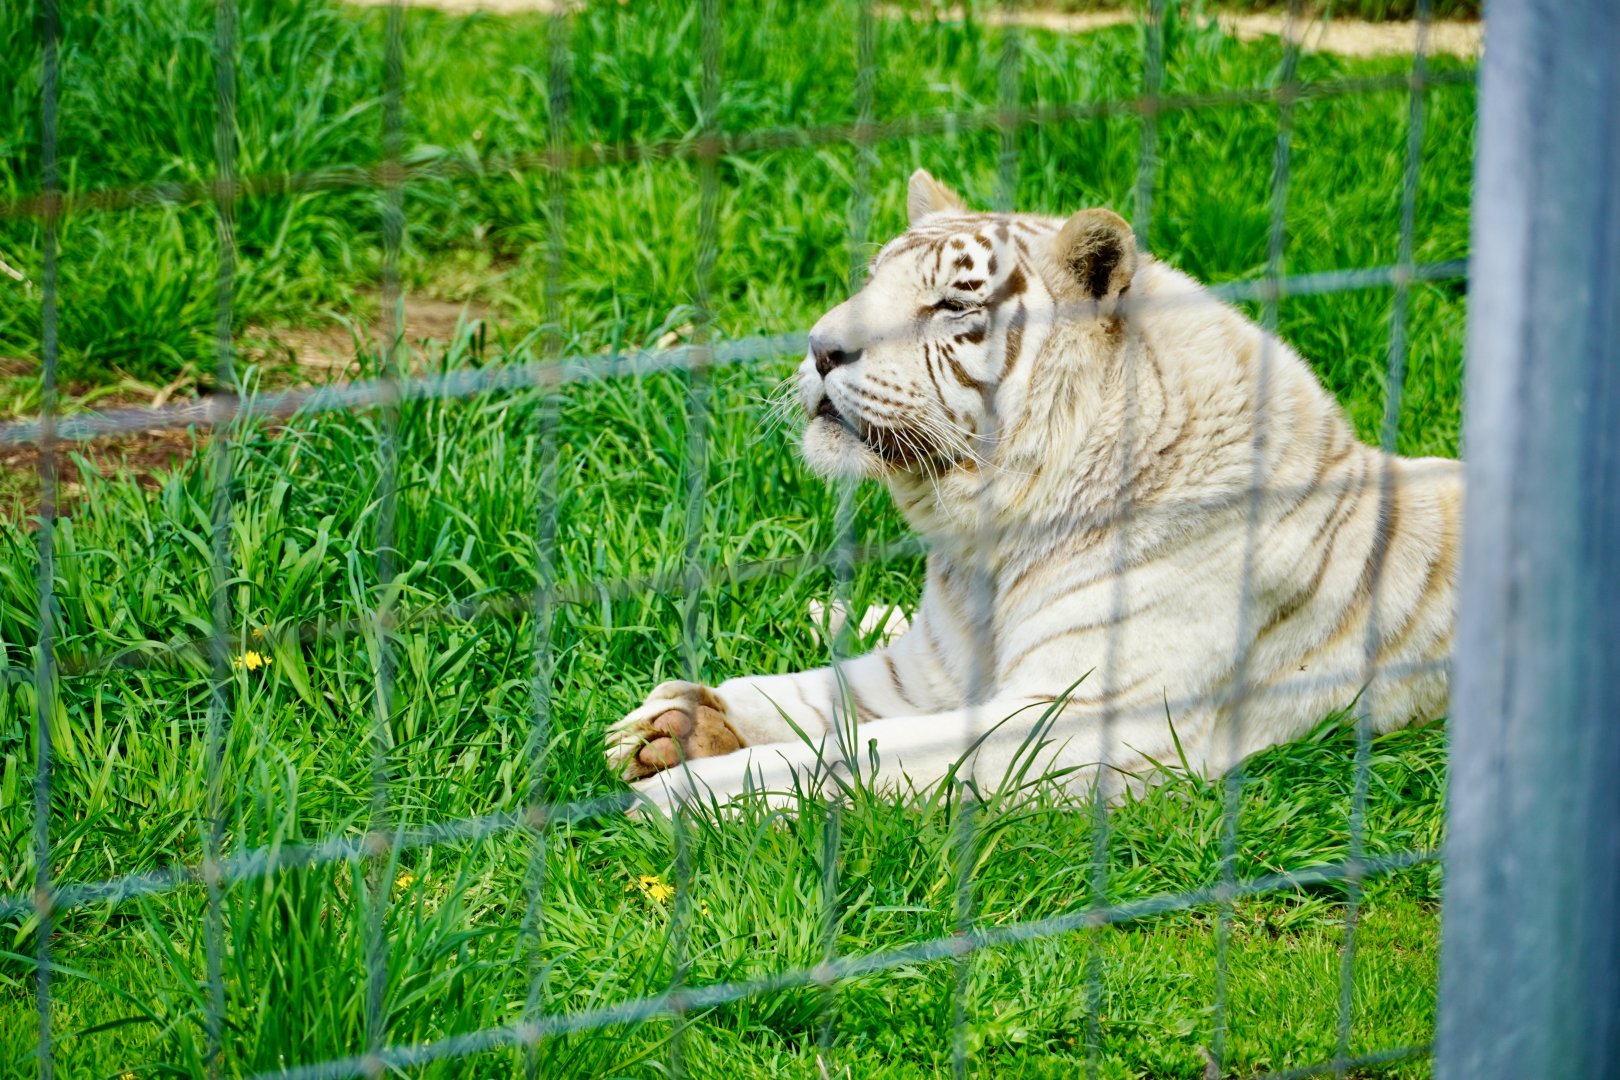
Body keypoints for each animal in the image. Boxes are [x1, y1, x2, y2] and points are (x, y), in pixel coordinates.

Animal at [606, 168, 1461, 813]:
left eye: (952, 305)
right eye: (870, 282)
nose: (819, 348)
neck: (986, 543)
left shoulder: (1080, 722)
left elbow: (863, 754)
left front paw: (684, 792)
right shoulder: (926, 671)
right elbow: (811, 698)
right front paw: (669, 726)